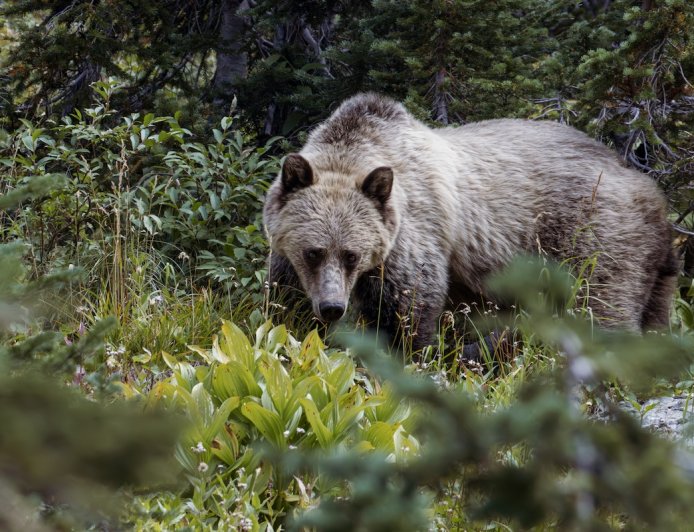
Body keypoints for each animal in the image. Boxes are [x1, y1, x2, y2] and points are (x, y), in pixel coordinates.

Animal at [263, 93, 677, 352]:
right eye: (314, 252)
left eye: (351, 254)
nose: (332, 307)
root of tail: (649, 188)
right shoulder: (287, 253)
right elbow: (283, 302)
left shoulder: (411, 236)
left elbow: (410, 307)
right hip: (652, 266)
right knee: (653, 312)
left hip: (592, 234)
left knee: (601, 306)